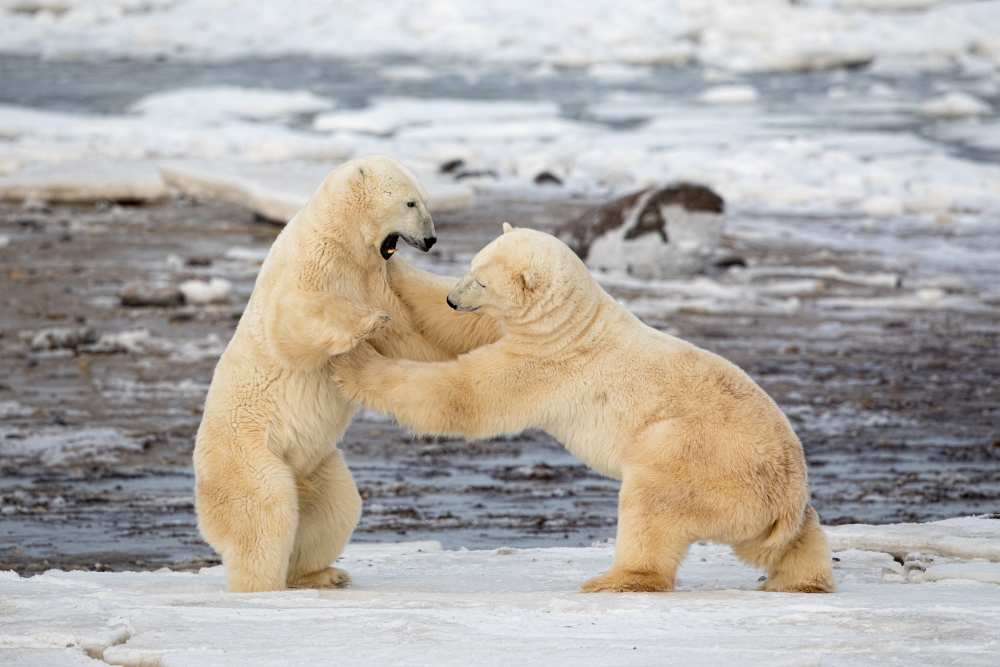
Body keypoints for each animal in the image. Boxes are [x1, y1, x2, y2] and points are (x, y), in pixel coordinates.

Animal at [193, 156, 499, 593]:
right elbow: (292, 322)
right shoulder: (310, 266)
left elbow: (422, 329)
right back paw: (263, 586)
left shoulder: (382, 276)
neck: (345, 244)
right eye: (410, 202)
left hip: (317, 465)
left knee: (335, 507)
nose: (431, 239)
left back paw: (323, 573)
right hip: (248, 454)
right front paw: (368, 322)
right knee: (265, 511)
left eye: (424, 199)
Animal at [334, 223, 835, 594]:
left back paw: (615, 579)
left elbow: (464, 394)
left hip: (700, 458)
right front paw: (395, 265)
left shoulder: (547, 365)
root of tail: (785, 495)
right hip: (764, 501)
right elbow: (459, 330)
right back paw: (799, 580)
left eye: (481, 279)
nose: (454, 297)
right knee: (788, 539)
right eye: (470, 267)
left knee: (650, 503)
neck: (573, 324)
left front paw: (355, 361)